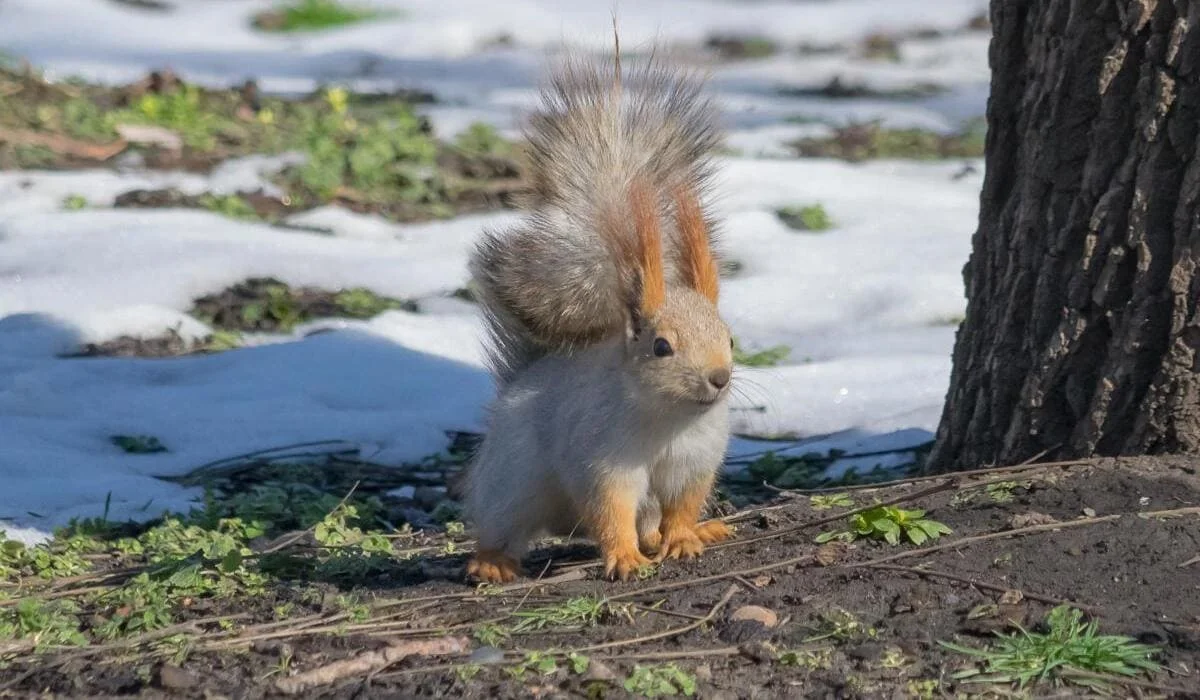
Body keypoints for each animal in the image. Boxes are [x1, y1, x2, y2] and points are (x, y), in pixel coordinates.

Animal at [463, 41, 734, 583]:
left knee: (650, 519)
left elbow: (682, 508)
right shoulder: (604, 462)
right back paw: (492, 562)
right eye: (661, 346)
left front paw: (684, 538)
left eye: (731, 338)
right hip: (511, 479)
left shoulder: (694, 464)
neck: (668, 421)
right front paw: (625, 557)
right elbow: (610, 511)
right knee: (501, 521)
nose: (720, 378)